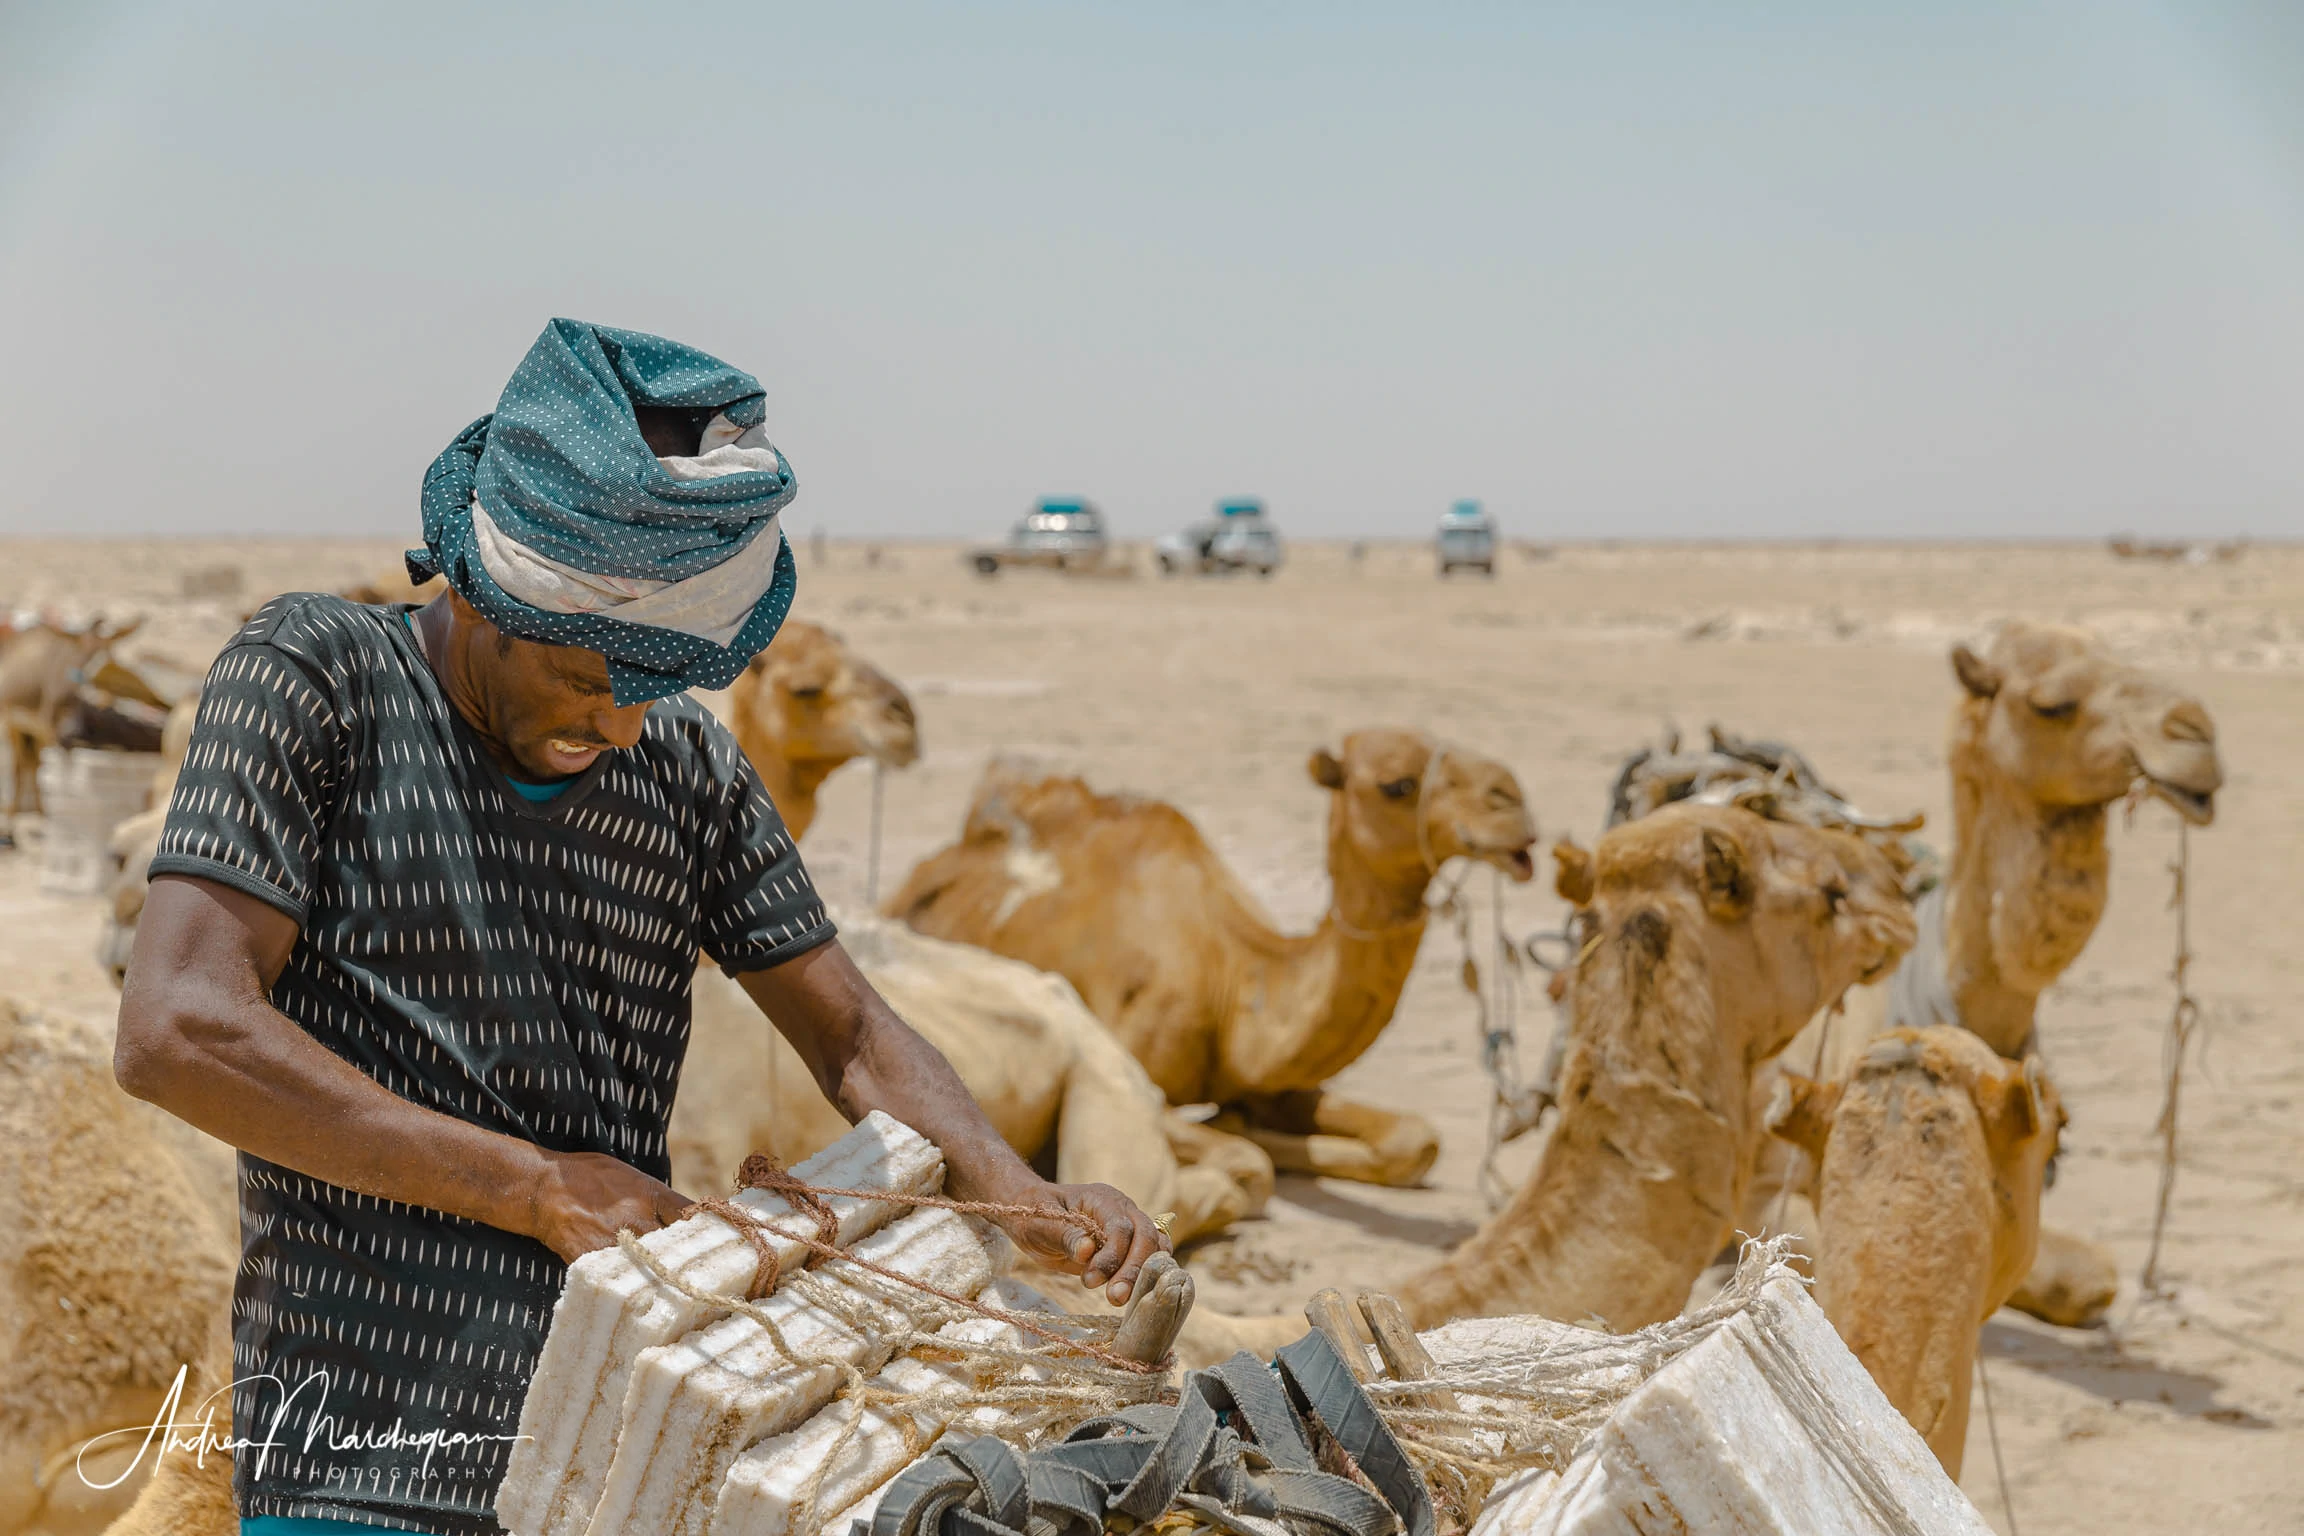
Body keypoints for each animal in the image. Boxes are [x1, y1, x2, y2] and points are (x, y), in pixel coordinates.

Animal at [889, 732, 1539, 1188]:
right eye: (1398, 784)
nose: (1514, 805)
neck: (1231, 972)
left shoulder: (1276, 1079)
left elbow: (1416, 1138)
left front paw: (1242, 1121)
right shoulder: (1137, 1068)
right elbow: (1247, 1155)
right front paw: (1234, 1128)